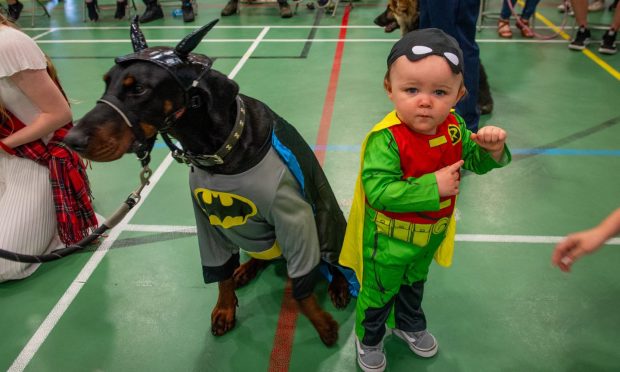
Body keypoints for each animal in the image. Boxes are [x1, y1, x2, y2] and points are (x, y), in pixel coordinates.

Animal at [63, 19, 356, 346]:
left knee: (331, 263)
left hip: (325, 225)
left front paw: (322, 323)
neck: (221, 152)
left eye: (138, 88)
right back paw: (247, 268)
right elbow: (221, 273)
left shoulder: (293, 216)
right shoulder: (208, 218)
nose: (70, 140)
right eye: (107, 82)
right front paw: (225, 309)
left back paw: (339, 286)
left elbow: (302, 285)